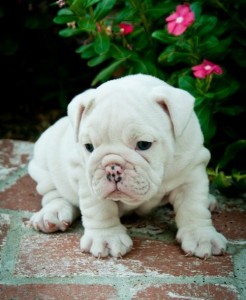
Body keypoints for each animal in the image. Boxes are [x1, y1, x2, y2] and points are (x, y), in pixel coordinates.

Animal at [28, 73, 227, 258]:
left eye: (144, 144)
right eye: (89, 147)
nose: (111, 167)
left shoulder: (192, 172)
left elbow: (193, 206)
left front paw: (201, 236)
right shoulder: (88, 178)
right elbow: (100, 209)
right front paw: (106, 238)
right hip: (43, 164)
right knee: (53, 194)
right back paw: (52, 214)